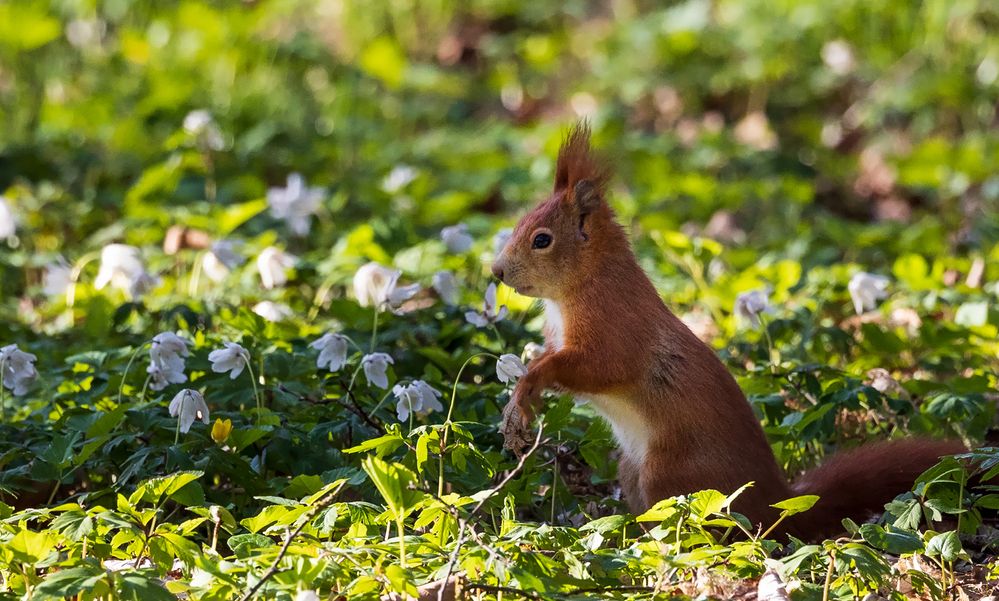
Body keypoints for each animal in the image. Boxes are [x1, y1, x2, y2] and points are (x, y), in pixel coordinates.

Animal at [496, 123, 964, 540]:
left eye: (542, 240)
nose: (497, 271)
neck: (581, 286)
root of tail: (774, 502)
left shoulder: (615, 327)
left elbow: (596, 367)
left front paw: (529, 385)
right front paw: (521, 395)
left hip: (671, 474)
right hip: (633, 471)